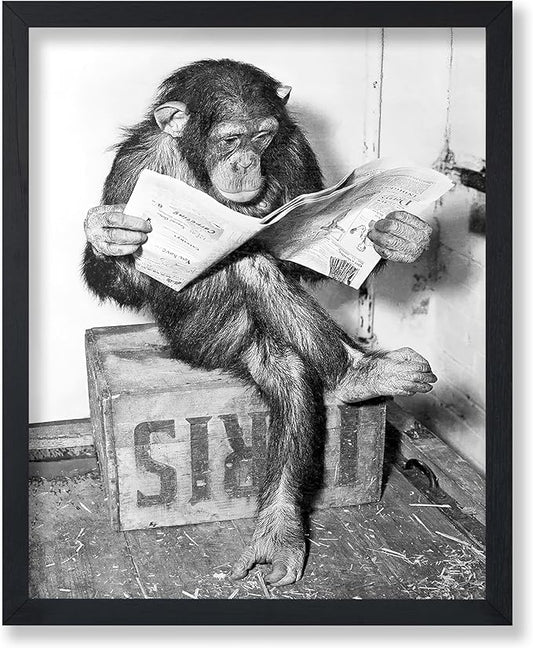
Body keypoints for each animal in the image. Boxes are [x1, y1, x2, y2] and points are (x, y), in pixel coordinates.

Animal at [83, 59, 435, 587]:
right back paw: (357, 376)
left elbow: (300, 257)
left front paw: (397, 234)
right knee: (248, 270)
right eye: (231, 139)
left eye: (263, 136)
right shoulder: (133, 165)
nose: (247, 162)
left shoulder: (294, 149)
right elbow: (125, 278)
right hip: (205, 339)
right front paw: (108, 233)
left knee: (284, 357)